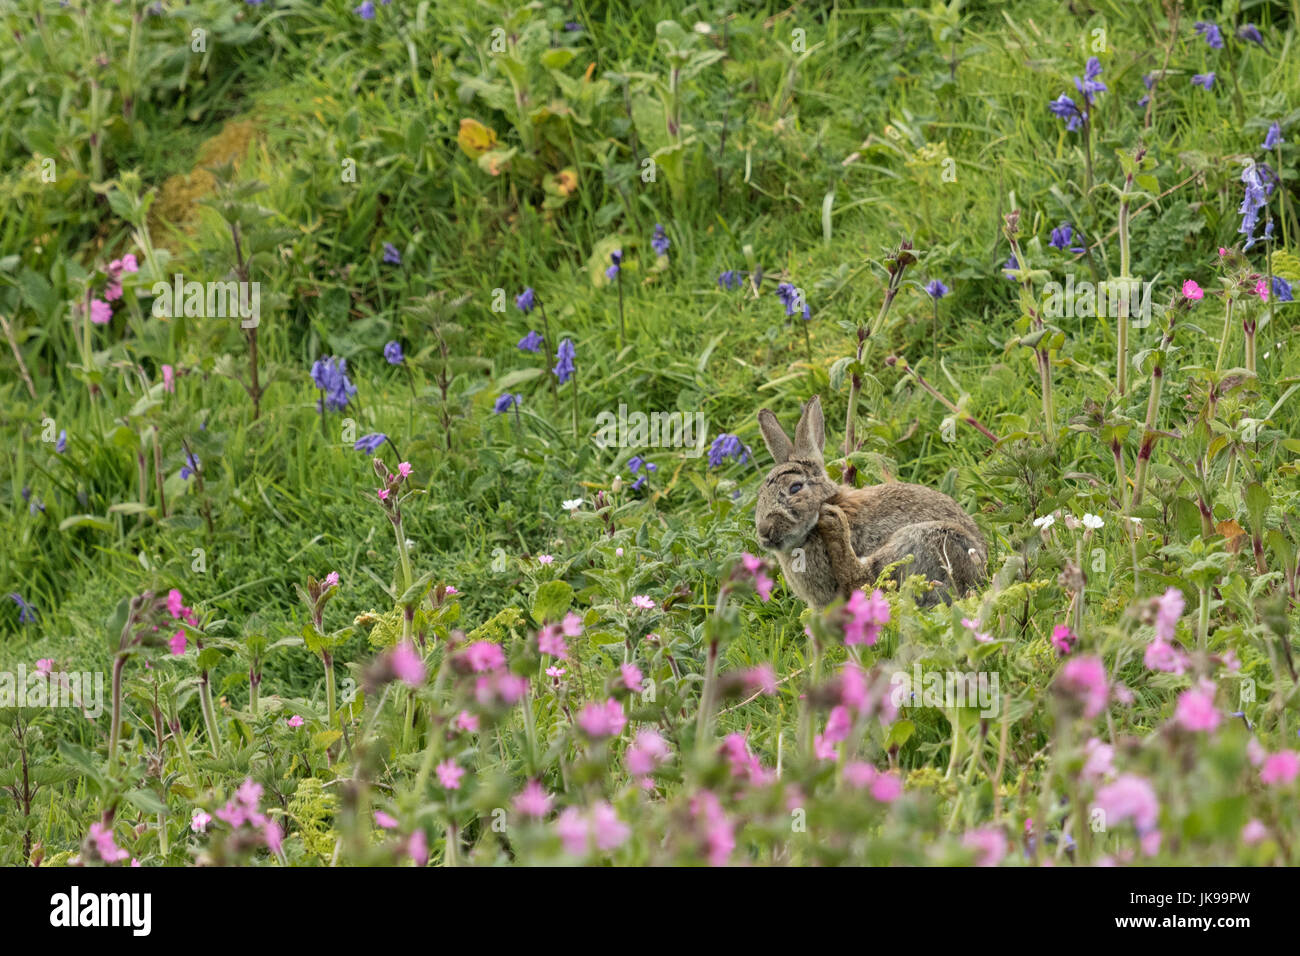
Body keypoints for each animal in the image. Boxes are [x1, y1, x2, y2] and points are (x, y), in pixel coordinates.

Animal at [754, 398, 982, 613]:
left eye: (795, 488)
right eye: (760, 496)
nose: (764, 531)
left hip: (923, 540)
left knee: (864, 580)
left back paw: (833, 522)